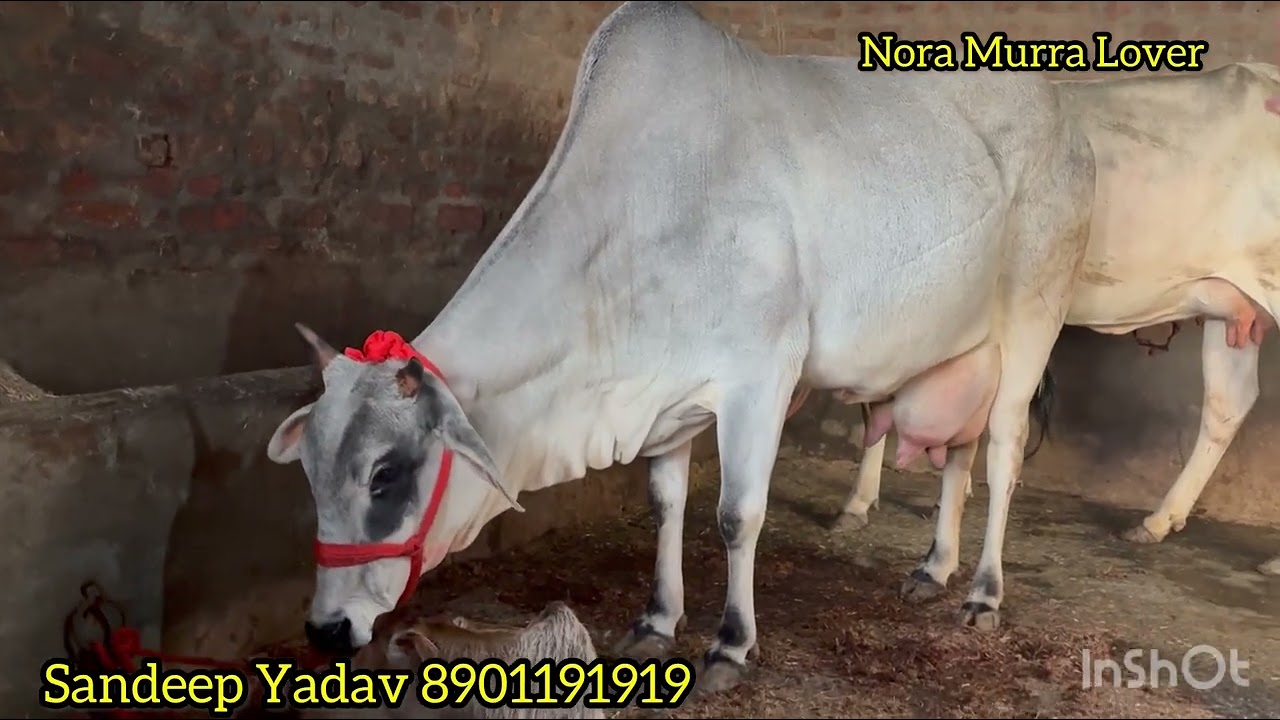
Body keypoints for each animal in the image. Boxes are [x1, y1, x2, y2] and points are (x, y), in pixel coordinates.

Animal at [264, 0, 1096, 694]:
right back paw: (934, 568)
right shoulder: (661, 393)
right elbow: (666, 504)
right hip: (960, 348)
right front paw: (657, 620)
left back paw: (983, 592)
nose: (326, 629)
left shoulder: (761, 377)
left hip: (1032, 319)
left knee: (1001, 452)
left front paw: (730, 645)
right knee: (957, 454)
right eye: (308, 474)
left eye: (387, 474)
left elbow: (736, 514)